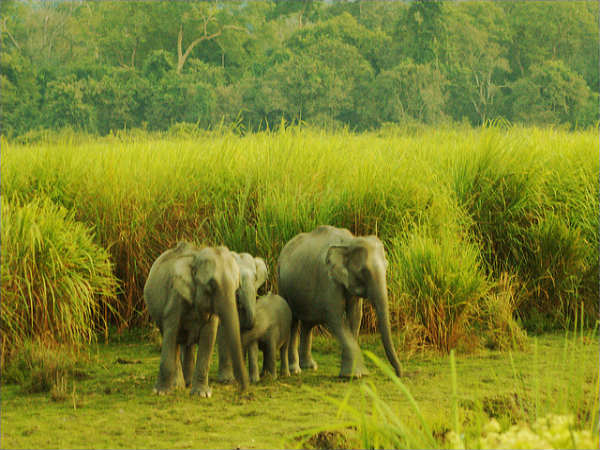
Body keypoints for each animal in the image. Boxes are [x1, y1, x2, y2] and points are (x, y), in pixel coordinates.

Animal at [143, 241, 248, 396]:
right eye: (211, 285)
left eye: (237, 286)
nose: (243, 389)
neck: (196, 257)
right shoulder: (175, 297)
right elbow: (171, 333)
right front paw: (161, 392)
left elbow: (208, 336)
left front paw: (202, 394)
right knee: (174, 340)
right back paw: (178, 385)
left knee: (187, 343)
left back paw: (187, 383)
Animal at [278, 224, 400, 376]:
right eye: (364, 271)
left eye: (386, 266)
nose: (398, 374)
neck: (349, 242)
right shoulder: (328, 280)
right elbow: (334, 318)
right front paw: (353, 375)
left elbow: (355, 317)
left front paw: (357, 373)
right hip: (283, 287)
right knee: (293, 322)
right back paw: (295, 370)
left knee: (308, 324)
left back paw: (310, 367)